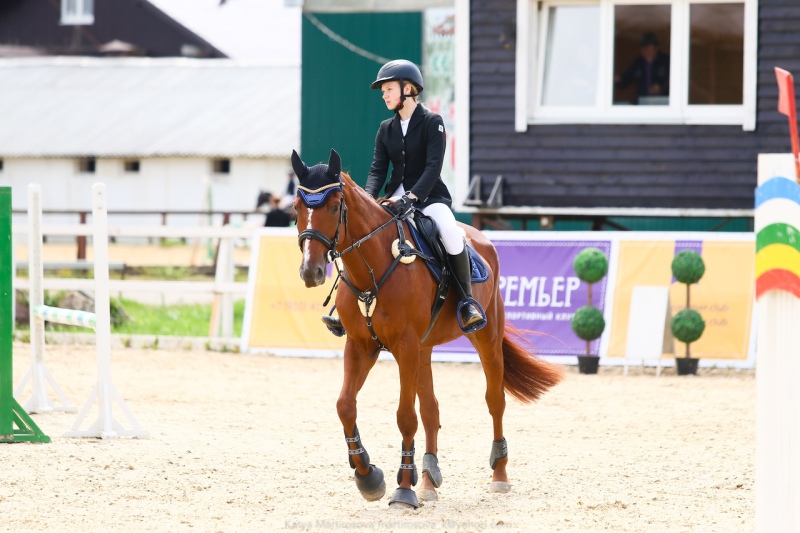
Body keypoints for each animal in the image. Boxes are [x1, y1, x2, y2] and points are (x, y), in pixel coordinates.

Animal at [290, 149, 564, 508]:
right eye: (297, 208)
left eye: (335, 206)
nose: (312, 272)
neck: (374, 266)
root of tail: (479, 238)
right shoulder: (362, 346)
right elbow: (345, 405)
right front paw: (368, 476)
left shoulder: (404, 346)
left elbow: (406, 416)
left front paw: (402, 489)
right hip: (424, 348)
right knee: (431, 409)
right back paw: (428, 481)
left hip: (485, 336)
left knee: (495, 400)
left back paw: (499, 476)